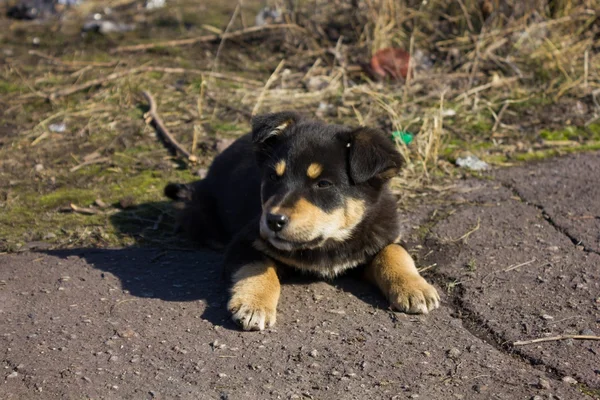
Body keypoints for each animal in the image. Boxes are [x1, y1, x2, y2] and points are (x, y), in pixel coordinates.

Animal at [165, 111, 440, 330]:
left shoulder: (384, 233)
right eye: (273, 177)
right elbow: (259, 268)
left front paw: (414, 288)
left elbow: (394, 252)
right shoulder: (245, 241)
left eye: (323, 184)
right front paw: (254, 305)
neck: (329, 244)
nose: (273, 220)